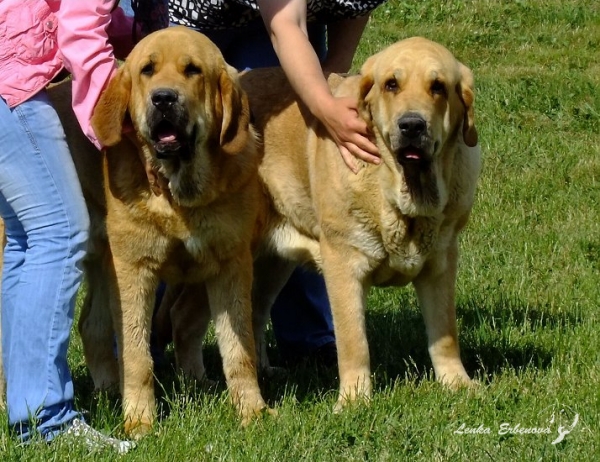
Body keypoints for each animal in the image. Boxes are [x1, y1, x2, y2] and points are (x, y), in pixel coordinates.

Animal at [47, 27, 270, 438]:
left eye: (192, 70)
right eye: (147, 70)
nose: (163, 98)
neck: (179, 193)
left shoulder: (230, 264)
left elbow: (239, 349)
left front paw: (253, 412)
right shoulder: (135, 270)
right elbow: (137, 355)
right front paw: (139, 422)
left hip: (105, 259)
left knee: (91, 325)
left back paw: (109, 388)